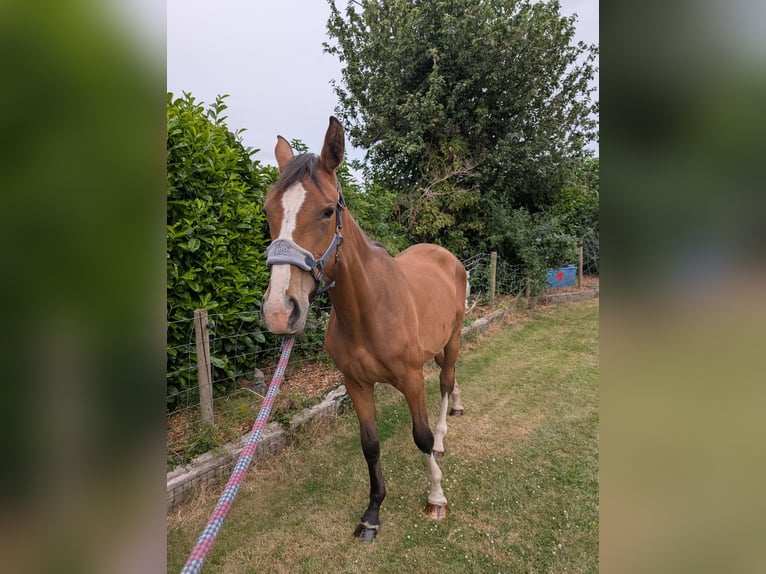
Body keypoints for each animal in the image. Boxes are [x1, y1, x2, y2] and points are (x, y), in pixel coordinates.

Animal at [261, 117, 468, 542]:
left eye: (327, 211)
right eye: (267, 210)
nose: (279, 311)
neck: (369, 311)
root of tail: (446, 256)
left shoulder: (411, 379)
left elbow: (420, 436)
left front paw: (435, 497)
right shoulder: (356, 383)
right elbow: (370, 445)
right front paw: (372, 513)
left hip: (453, 338)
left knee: (444, 383)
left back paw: (443, 435)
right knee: (450, 378)